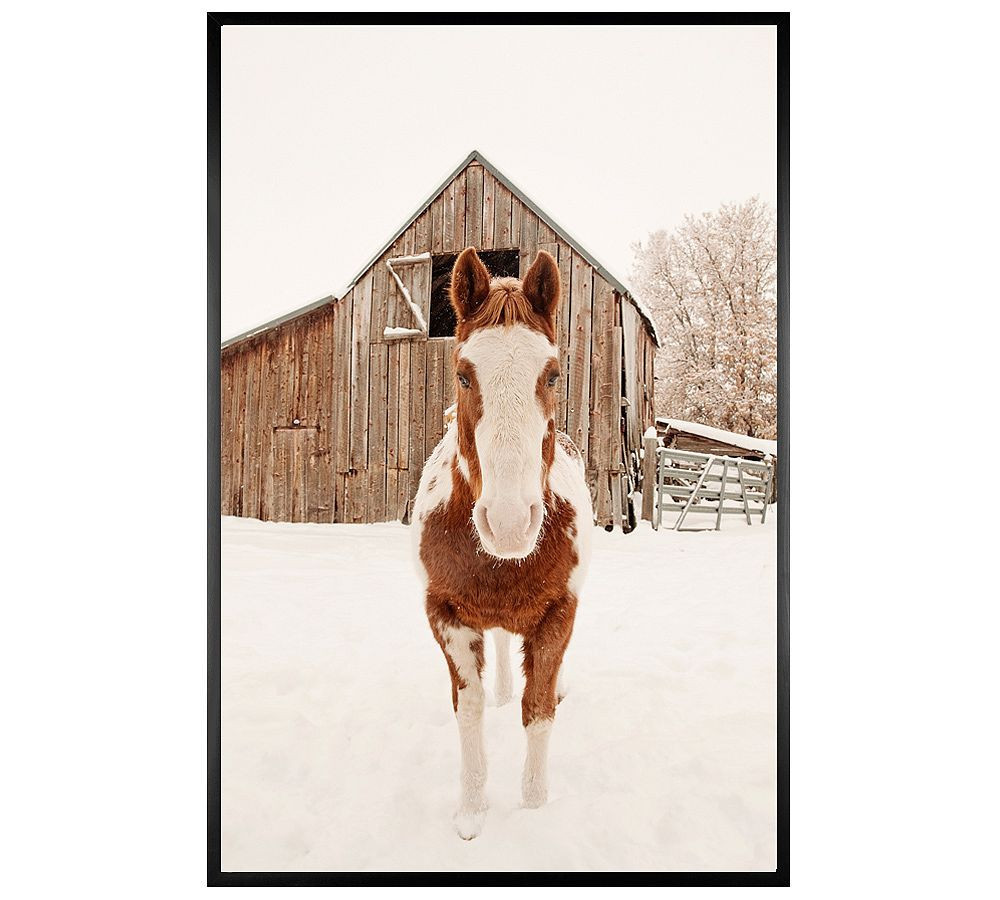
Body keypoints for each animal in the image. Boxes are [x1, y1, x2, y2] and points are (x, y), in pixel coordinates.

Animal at [411, 247, 593, 839]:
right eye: (463, 375)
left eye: (553, 374)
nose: (510, 522)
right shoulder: (446, 615)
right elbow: (466, 711)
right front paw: (471, 811)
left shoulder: (560, 613)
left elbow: (538, 709)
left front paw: (534, 808)